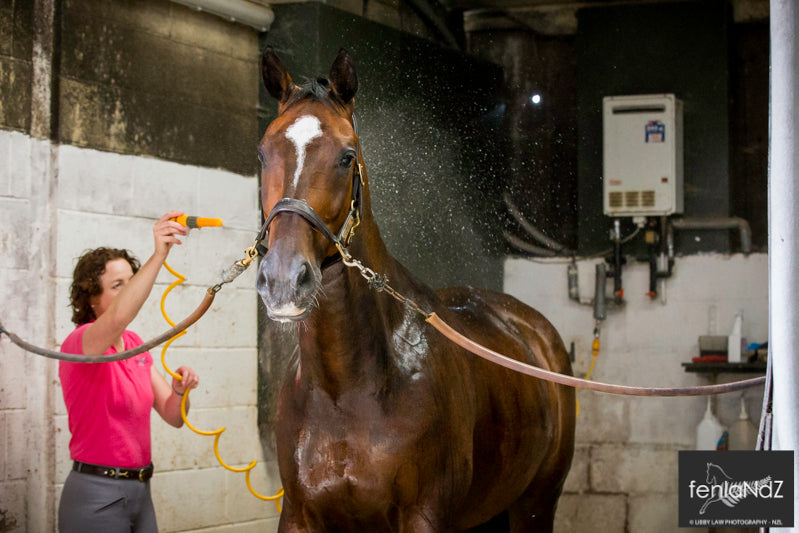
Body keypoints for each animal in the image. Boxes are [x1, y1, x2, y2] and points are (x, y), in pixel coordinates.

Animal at [256, 47, 575, 532]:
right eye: (262, 154)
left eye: (347, 156)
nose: (283, 279)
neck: (345, 389)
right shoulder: (298, 515)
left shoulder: (424, 516)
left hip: (536, 504)